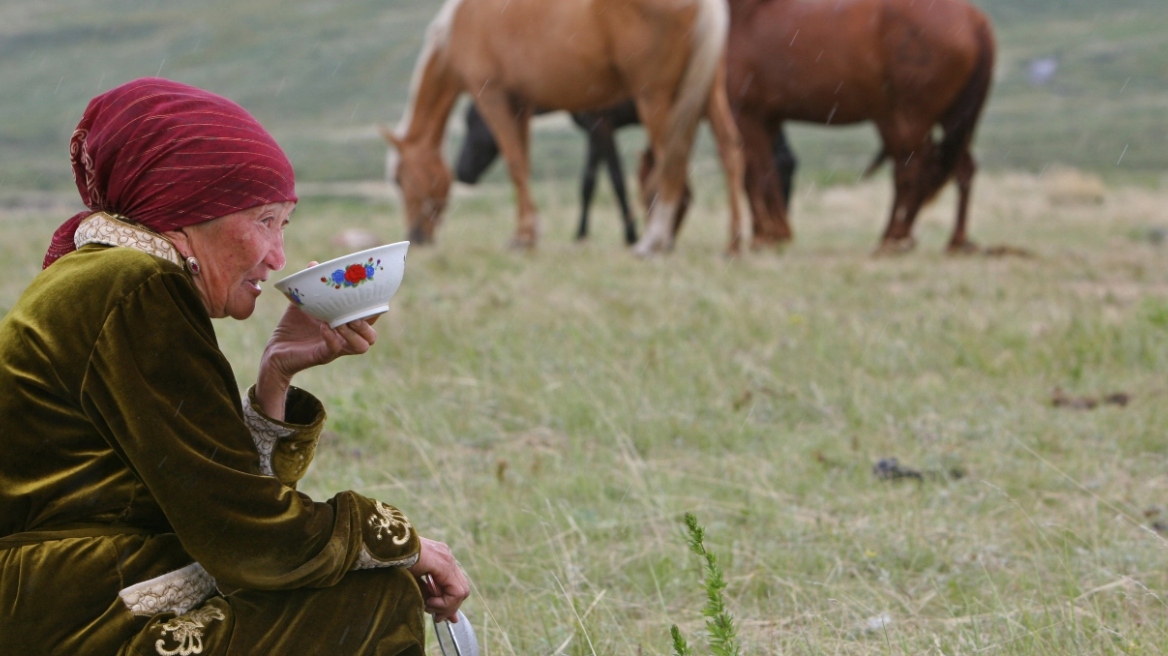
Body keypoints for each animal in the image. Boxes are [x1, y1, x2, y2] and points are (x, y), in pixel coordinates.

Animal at [378, 0, 752, 255]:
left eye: (399, 179)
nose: (417, 236)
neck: (461, 22)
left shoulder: (493, 96)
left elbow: (515, 164)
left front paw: (524, 236)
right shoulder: (522, 106)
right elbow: (524, 164)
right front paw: (529, 233)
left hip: (655, 96)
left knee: (672, 160)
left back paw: (653, 240)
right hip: (708, 93)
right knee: (729, 152)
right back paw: (733, 243)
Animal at [450, 99, 798, 245]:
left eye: (473, 121)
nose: (460, 172)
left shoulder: (600, 126)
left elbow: (608, 181)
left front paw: (625, 234)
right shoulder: (596, 131)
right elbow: (592, 182)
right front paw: (586, 232)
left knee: (776, 161)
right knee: (782, 160)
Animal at [728, 0, 995, 250]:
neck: (744, 14)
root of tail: (974, 19)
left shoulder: (747, 114)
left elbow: (759, 173)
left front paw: (769, 236)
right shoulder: (768, 120)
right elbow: (764, 171)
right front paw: (771, 233)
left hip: (912, 117)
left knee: (915, 168)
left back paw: (895, 237)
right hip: (950, 120)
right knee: (960, 169)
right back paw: (952, 240)